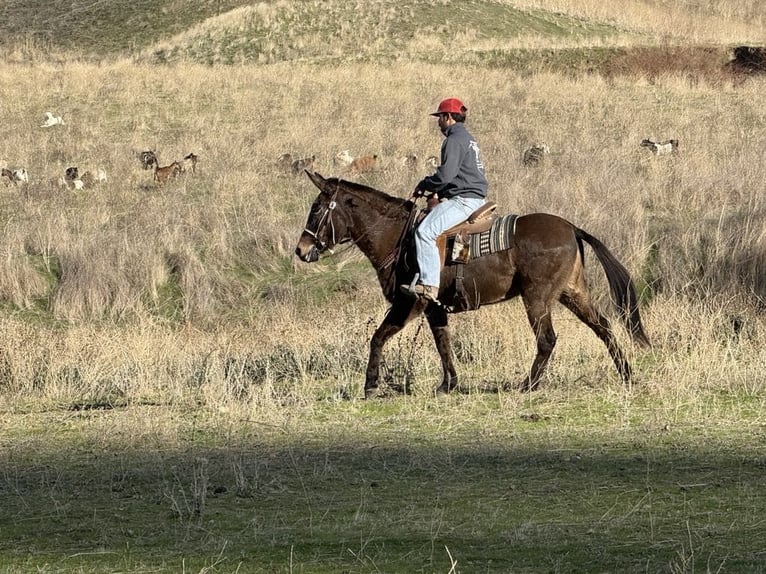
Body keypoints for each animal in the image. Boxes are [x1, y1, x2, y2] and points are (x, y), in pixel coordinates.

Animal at [295, 171, 650, 398]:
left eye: (316, 209)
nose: (301, 249)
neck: (400, 238)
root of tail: (572, 228)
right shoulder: (434, 308)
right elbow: (443, 343)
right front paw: (448, 384)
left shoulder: (409, 303)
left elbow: (378, 337)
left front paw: (370, 385)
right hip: (572, 293)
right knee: (603, 327)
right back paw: (627, 374)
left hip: (537, 298)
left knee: (547, 340)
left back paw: (528, 385)